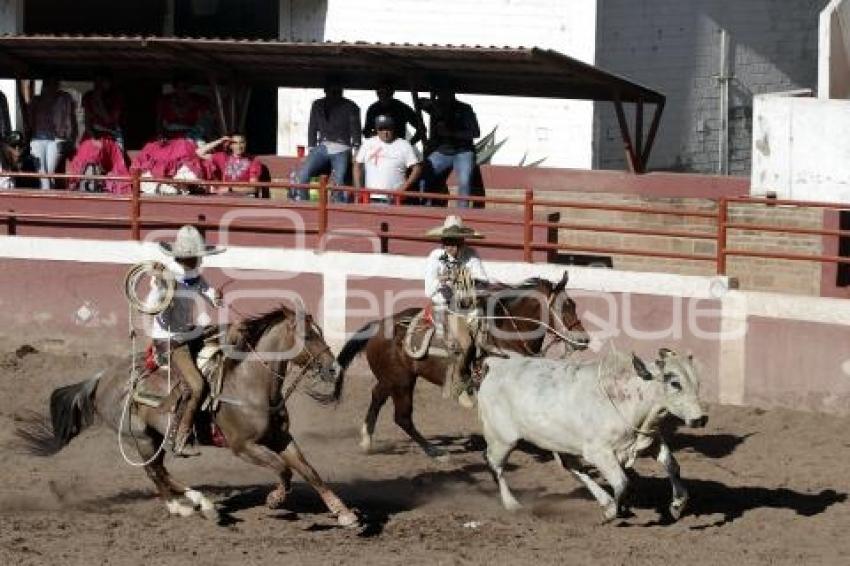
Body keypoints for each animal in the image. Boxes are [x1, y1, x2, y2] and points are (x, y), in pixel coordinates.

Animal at [19, 306, 358, 528]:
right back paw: (189, 507)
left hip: (154, 437)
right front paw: (275, 500)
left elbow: (309, 472)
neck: (250, 383)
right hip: (140, 438)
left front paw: (345, 514)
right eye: (307, 336)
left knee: (160, 473)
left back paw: (196, 505)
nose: (333, 369)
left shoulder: (281, 438)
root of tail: (103, 377)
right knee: (155, 472)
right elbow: (283, 471)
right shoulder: (243, 447)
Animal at [332, 272, 588, 462]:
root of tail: (378, 326)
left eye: (574, 304)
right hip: (401, 381)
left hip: (392, 379)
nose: (584, 339)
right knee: (402, 417)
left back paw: (367, 441)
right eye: (567, 306)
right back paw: (435, 452)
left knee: (377, 397)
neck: (506, 335)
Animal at [480, 350, 704, 524]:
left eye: (697, 382)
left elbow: (672, 465)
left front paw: (678, 504)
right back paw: (512, 504)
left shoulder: (650, 440)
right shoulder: (599, 452)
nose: (701, 419)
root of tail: (497, 365)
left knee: (573, 467)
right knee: (494, 466)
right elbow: (622, 483)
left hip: (561, 443)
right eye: (675, 383)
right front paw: (615, 512)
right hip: (502, 439)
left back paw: (606, 502)